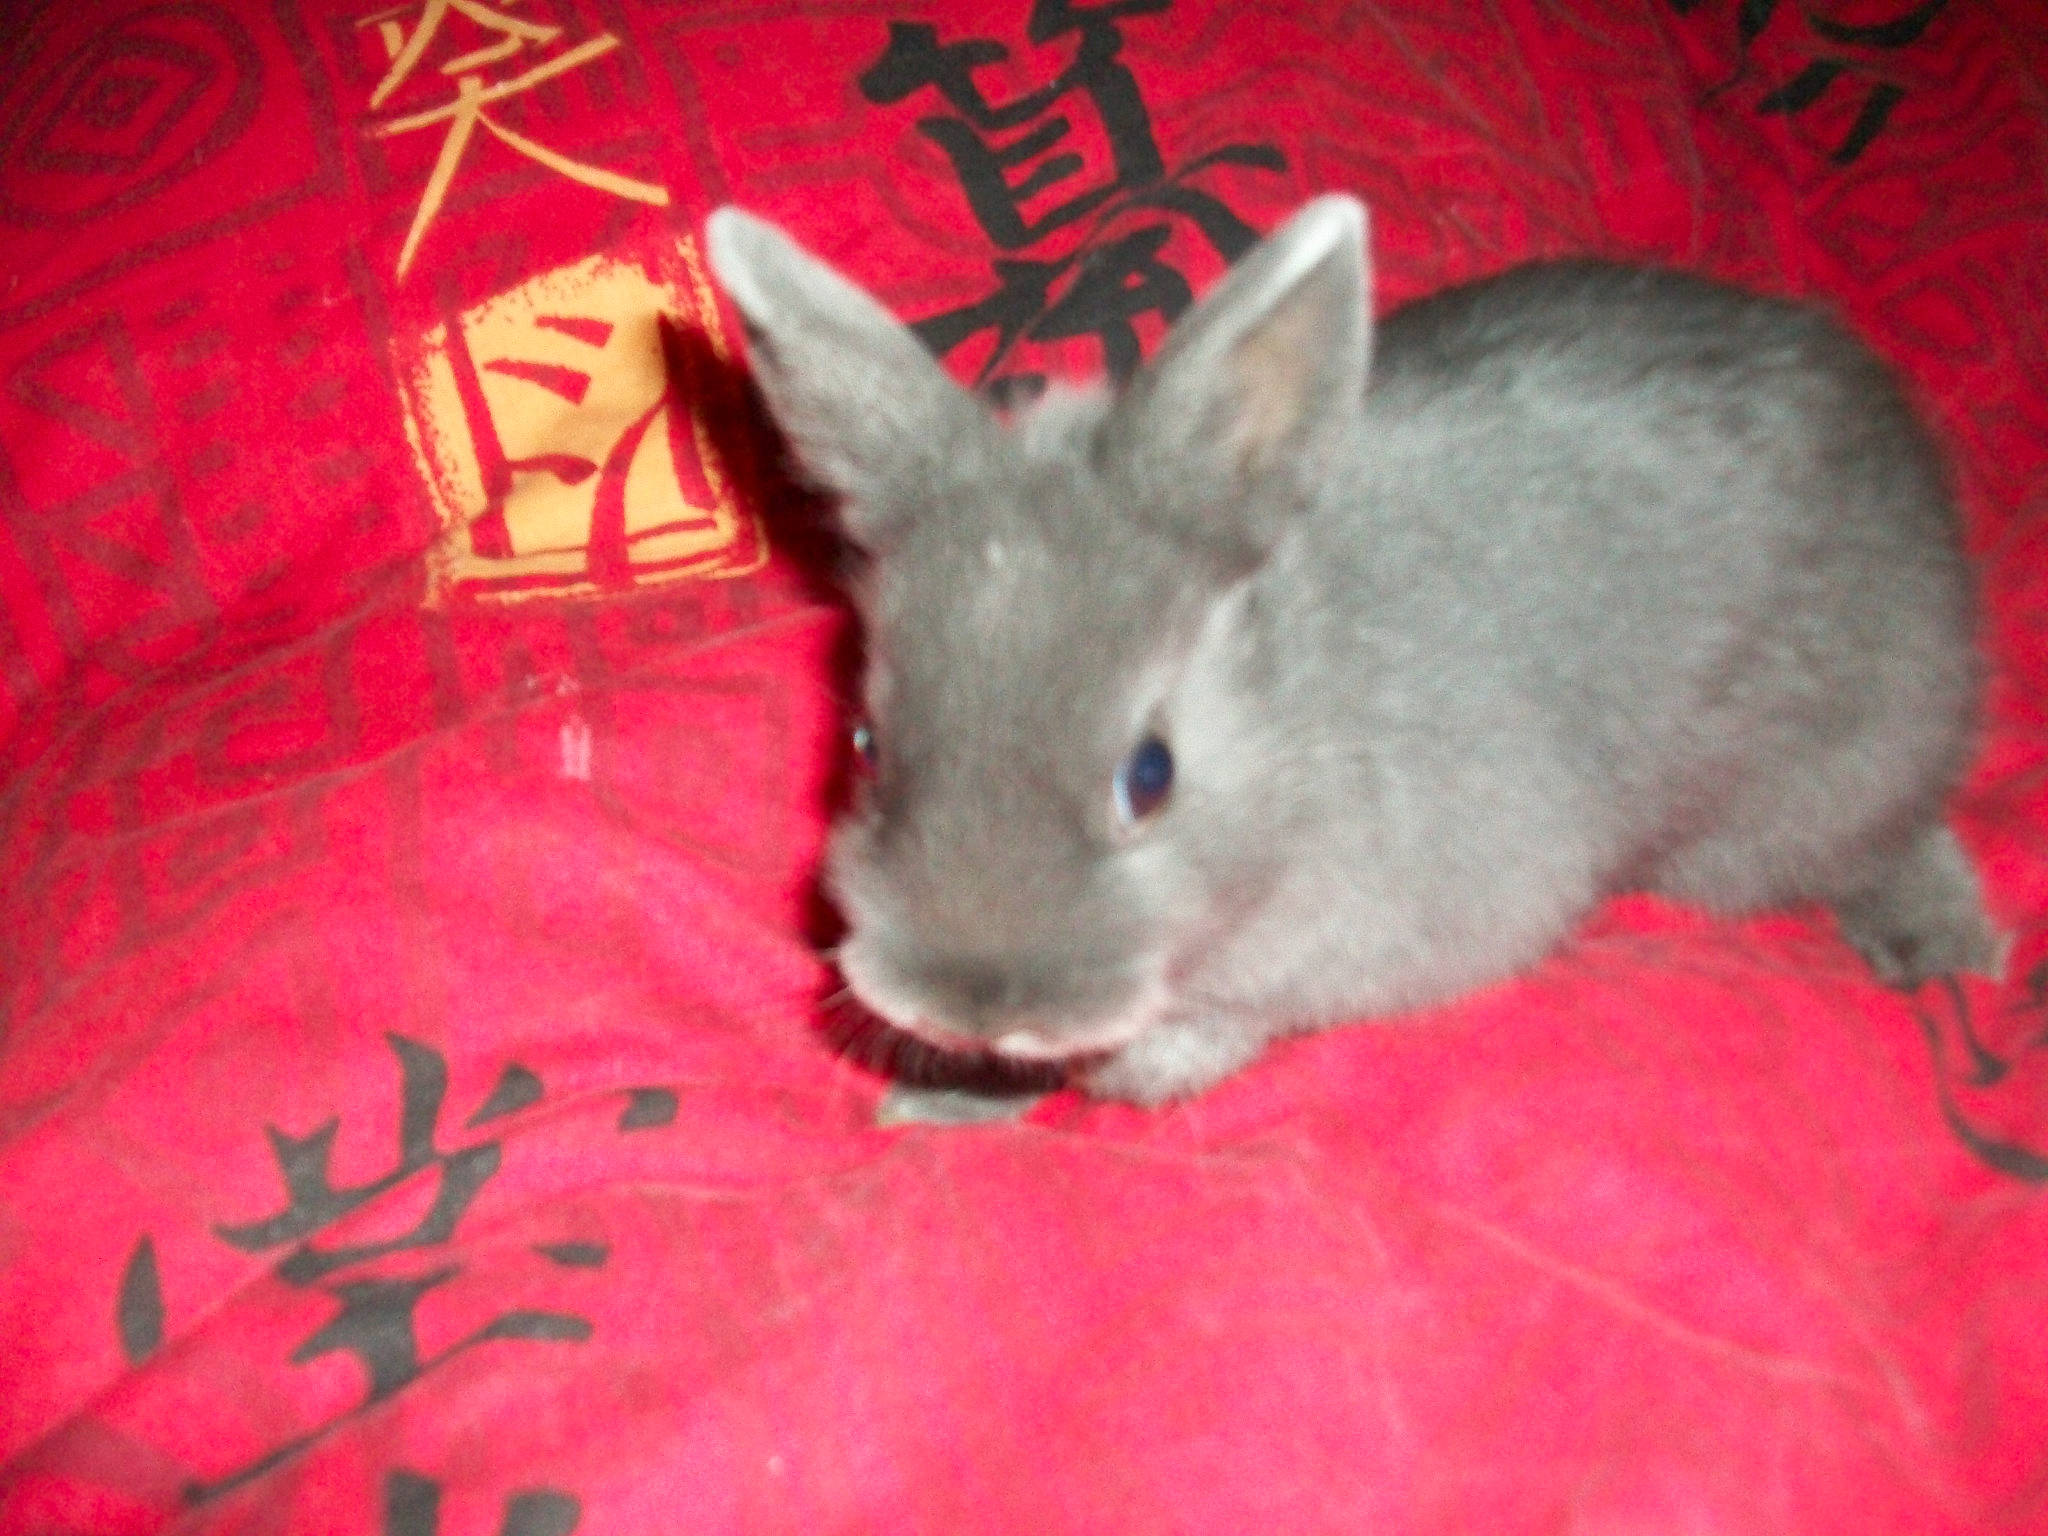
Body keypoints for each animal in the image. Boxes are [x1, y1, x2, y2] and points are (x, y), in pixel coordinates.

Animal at [703, 194, 2004, 1110]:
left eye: (1150, 775)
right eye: (866, 742)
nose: (971, 1003)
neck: (1302, 729)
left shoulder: (1406, 924)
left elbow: (1245, 1018)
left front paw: (1129, 1074)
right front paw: (946, 1094)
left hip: (1807, 781)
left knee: (1887, 831)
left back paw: (1947, 948)